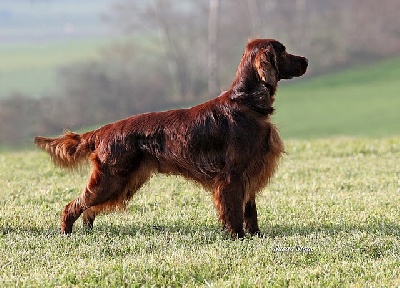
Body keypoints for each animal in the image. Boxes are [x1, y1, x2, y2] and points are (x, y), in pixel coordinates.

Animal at [35, 39, 310, 237]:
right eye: (284, 51)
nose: (306, 59)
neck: (246, 102)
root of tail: (103, 131)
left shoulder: (251, 172)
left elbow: (250, 210)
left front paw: (256, 235)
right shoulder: (233, 175)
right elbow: (234, 211)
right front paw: (237, 237)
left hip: (120, 181)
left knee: (88, 209)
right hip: (111, 179)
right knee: (73, 206)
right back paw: (66, 233)